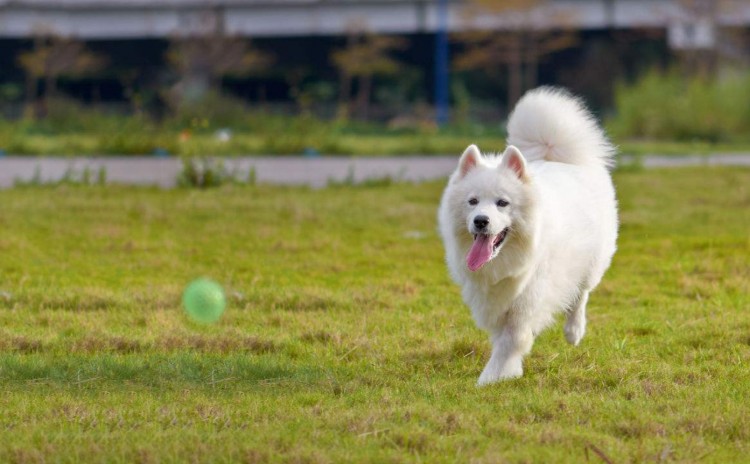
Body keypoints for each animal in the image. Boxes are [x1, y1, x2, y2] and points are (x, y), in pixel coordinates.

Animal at [438, 88, 620, 384]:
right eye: (472, 202)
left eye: (502, 203)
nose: (480, 221)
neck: (506, 259)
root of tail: (555, 156)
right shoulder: (493, 299)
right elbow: (504, 338)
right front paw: (509, 370)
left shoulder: (529, 298)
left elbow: (512, 339)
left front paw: (490, 378)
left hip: (592, 262)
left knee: (581, 293)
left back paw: (574, 331)